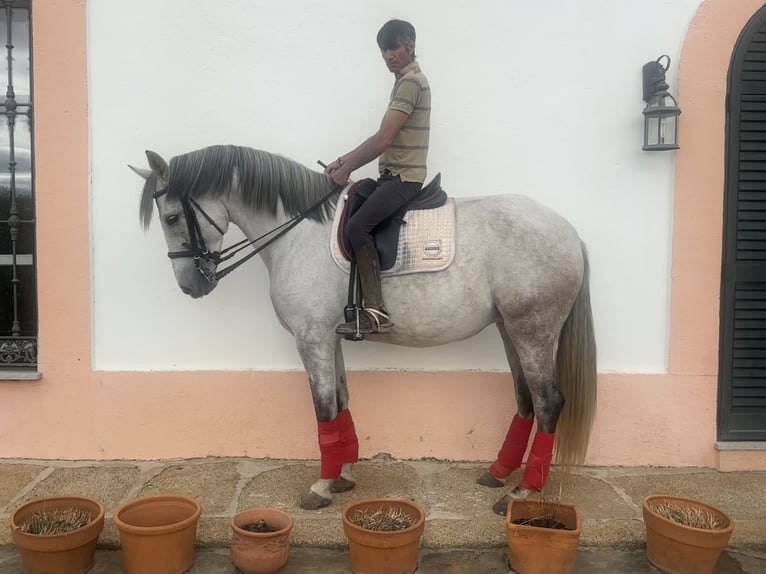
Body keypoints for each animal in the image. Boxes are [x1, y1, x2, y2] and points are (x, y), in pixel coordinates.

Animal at [132, 146, 600, 516]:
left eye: (171, 216)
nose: (190, 286)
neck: (300, 232)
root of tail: (570, 234)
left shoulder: (312, 339)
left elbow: (323, 408)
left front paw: (321, 486)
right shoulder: (329, 337)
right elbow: (341, 401)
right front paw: (343, 475)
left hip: (533, 330)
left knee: (548, 402)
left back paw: (523, 492)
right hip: (511, 329)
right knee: (525, 400)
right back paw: (499, 473)